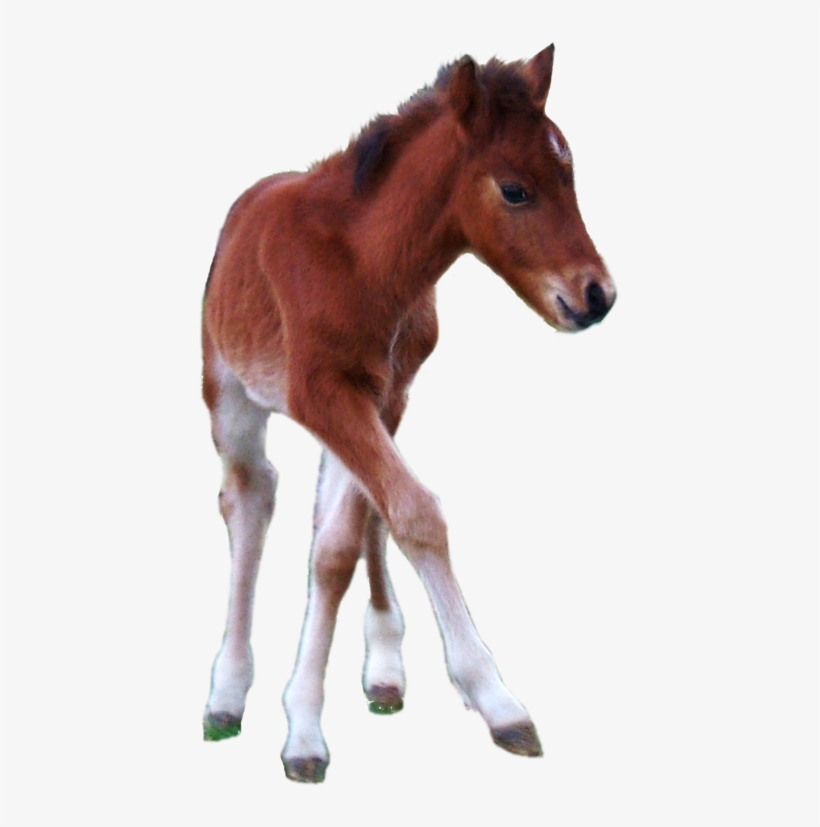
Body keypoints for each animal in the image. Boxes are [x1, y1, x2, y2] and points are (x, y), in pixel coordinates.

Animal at [201, 45, 616, 783]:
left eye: (571, 173)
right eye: (515, 190)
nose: (597, 295)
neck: (364, 260)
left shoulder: (381, 393)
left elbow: (345, 540)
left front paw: (311, 715)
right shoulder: (321, 392)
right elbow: (411, 515)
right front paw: (493, 697)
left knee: (340, 513)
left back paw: (384, 669)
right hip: (231, 391)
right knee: (249, 498)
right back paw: (226, 690)